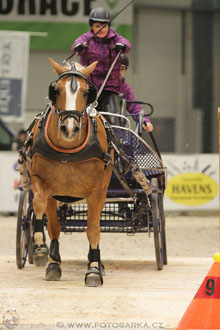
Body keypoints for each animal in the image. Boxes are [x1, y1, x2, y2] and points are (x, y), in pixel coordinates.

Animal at [27, 58, 112, 286]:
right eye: (56, 90)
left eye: (86, 92)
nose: (70, 128)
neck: (67, 151)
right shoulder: (42, 184)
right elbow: (43, 213)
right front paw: (42, 251)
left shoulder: (95, 192)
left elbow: (93, 230)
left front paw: (93, 269)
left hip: (103, 190)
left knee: (96, 224)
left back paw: (97, 262)